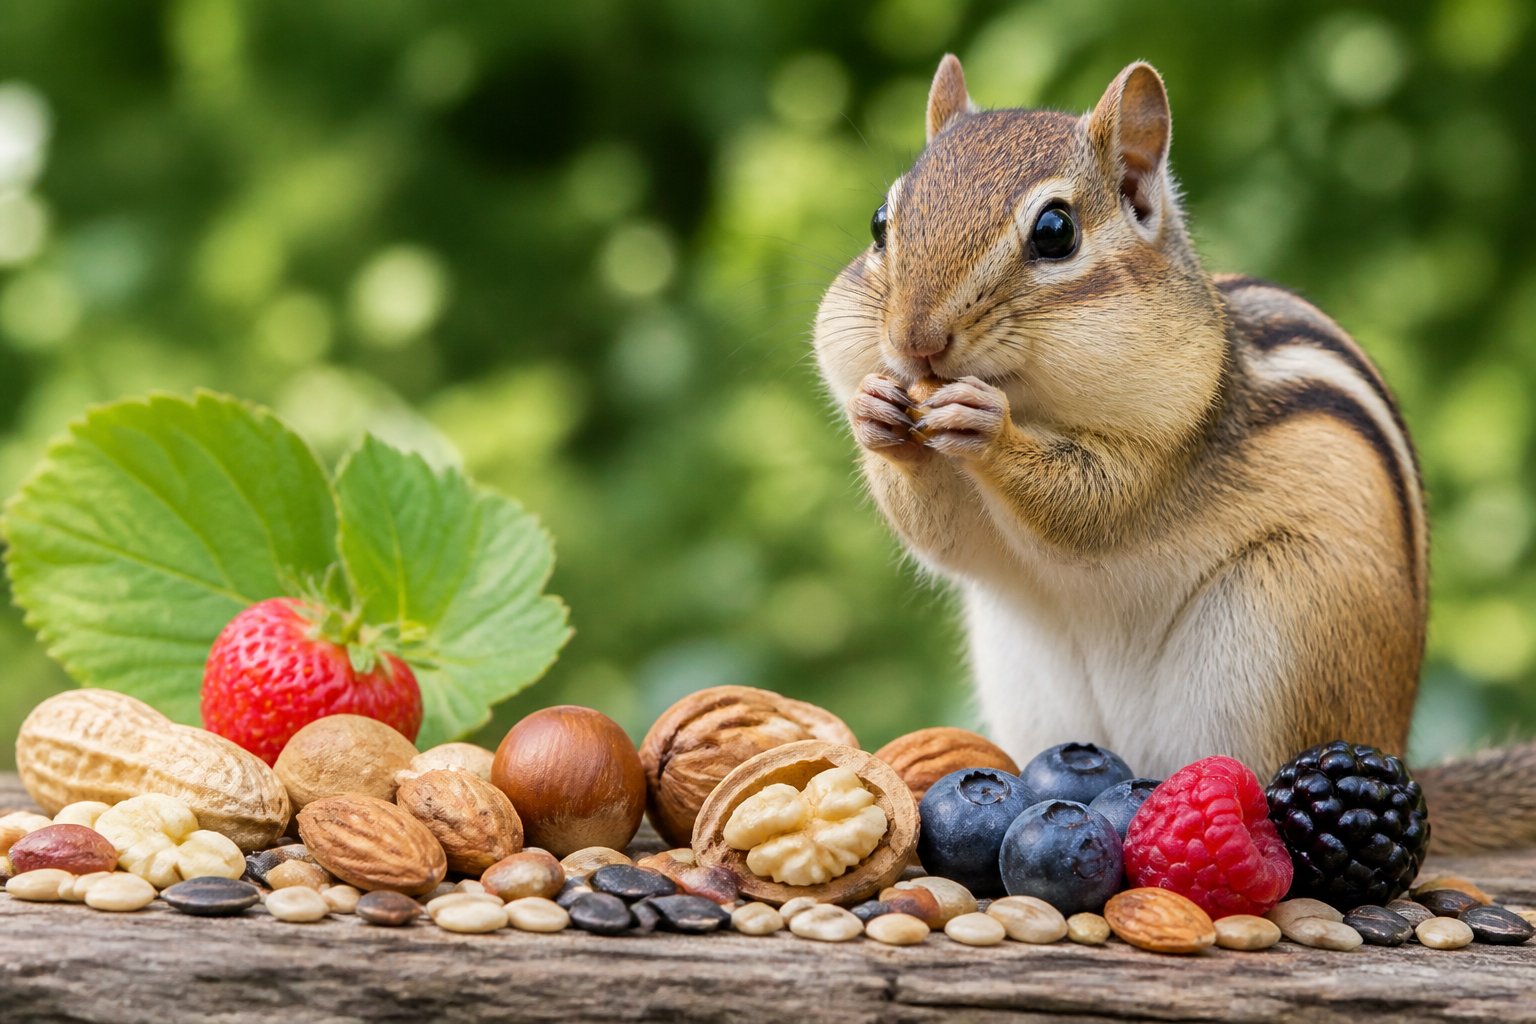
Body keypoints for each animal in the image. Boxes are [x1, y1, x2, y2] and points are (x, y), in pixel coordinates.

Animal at [813, 54, 1536, 853]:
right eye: (880, 224)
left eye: (1056, 231)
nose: (915, 342)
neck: (1036, 401)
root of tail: (1398, 754)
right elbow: (943, 535)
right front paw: (875, 412)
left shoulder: (1171, 440)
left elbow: (1090, 510)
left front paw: (985, 424)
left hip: (1279, 635)